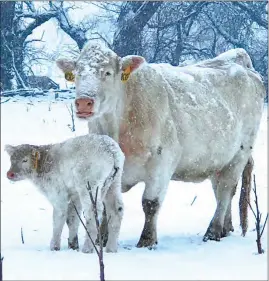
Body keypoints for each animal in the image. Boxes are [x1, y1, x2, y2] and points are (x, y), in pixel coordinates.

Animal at [56, 42, 264, 246]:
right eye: (77, 73)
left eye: (107, 72)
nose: (84, 102)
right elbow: (106, 206)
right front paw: (101, 239)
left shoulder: (163, 161)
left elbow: (150, 203)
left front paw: (147, 240)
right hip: (219, 159)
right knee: (220, 189)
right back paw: (225, 229)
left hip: (240, 153)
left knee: (225, 190)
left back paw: (212, 232)